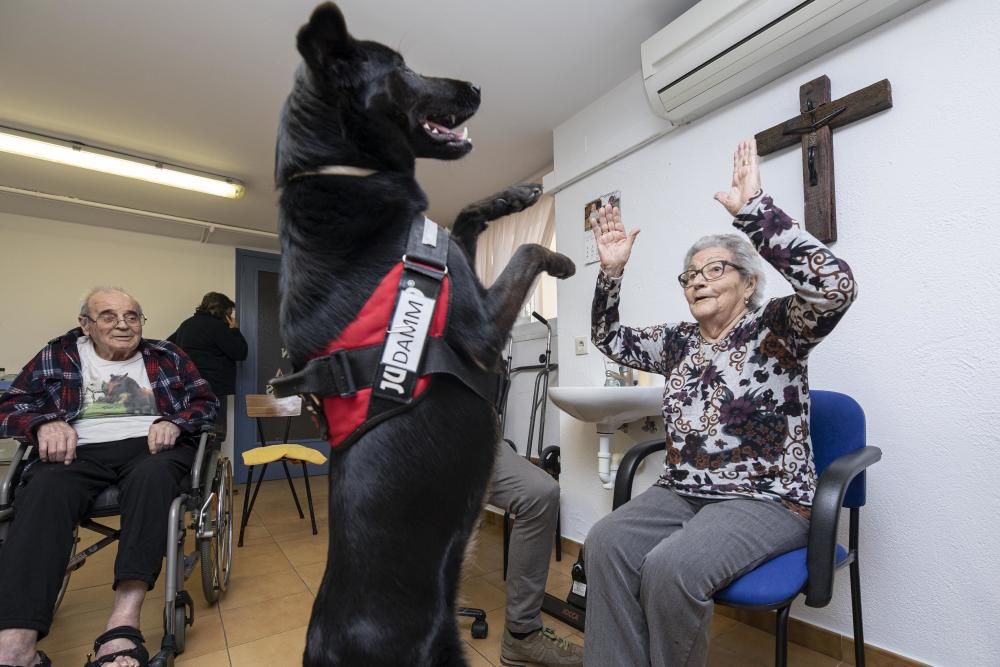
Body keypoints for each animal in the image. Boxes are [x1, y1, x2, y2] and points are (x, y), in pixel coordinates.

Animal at [274, 2, 576, 664]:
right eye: (404, 68)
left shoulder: (454, 253)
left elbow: (464, 215)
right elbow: (526, 249)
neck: (345, 169)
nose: (479, 88)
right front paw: (562, 259)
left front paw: (517, 192)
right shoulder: (482, 330)